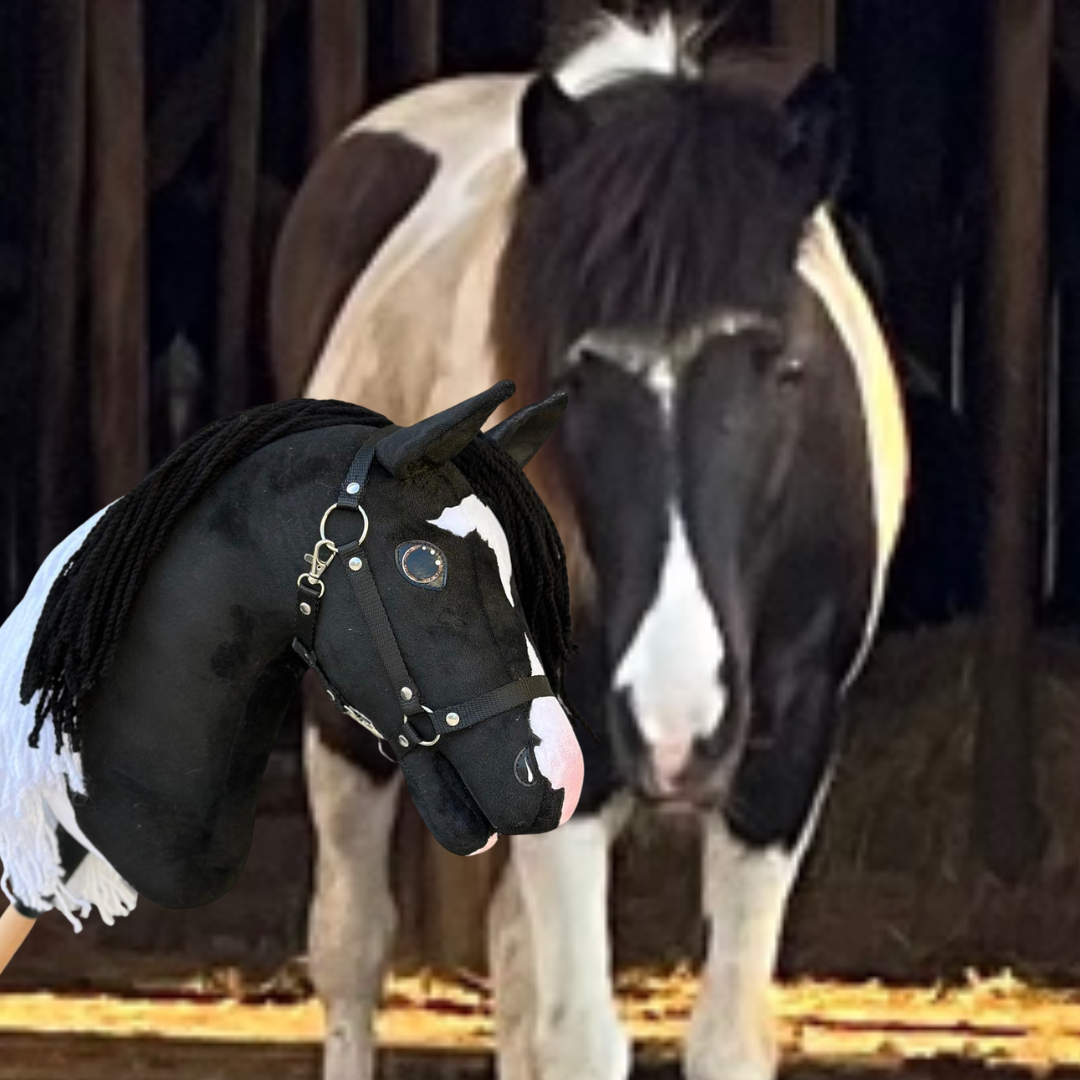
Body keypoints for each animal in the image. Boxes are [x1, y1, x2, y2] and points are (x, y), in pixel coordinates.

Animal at [270, 12, 908, 1080]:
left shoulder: (785, 761)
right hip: (346, 723)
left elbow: (721, 1037)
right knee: (353, 948)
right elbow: (580, 1035)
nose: (674, 721)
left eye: (784, 364)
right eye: (577, 371)